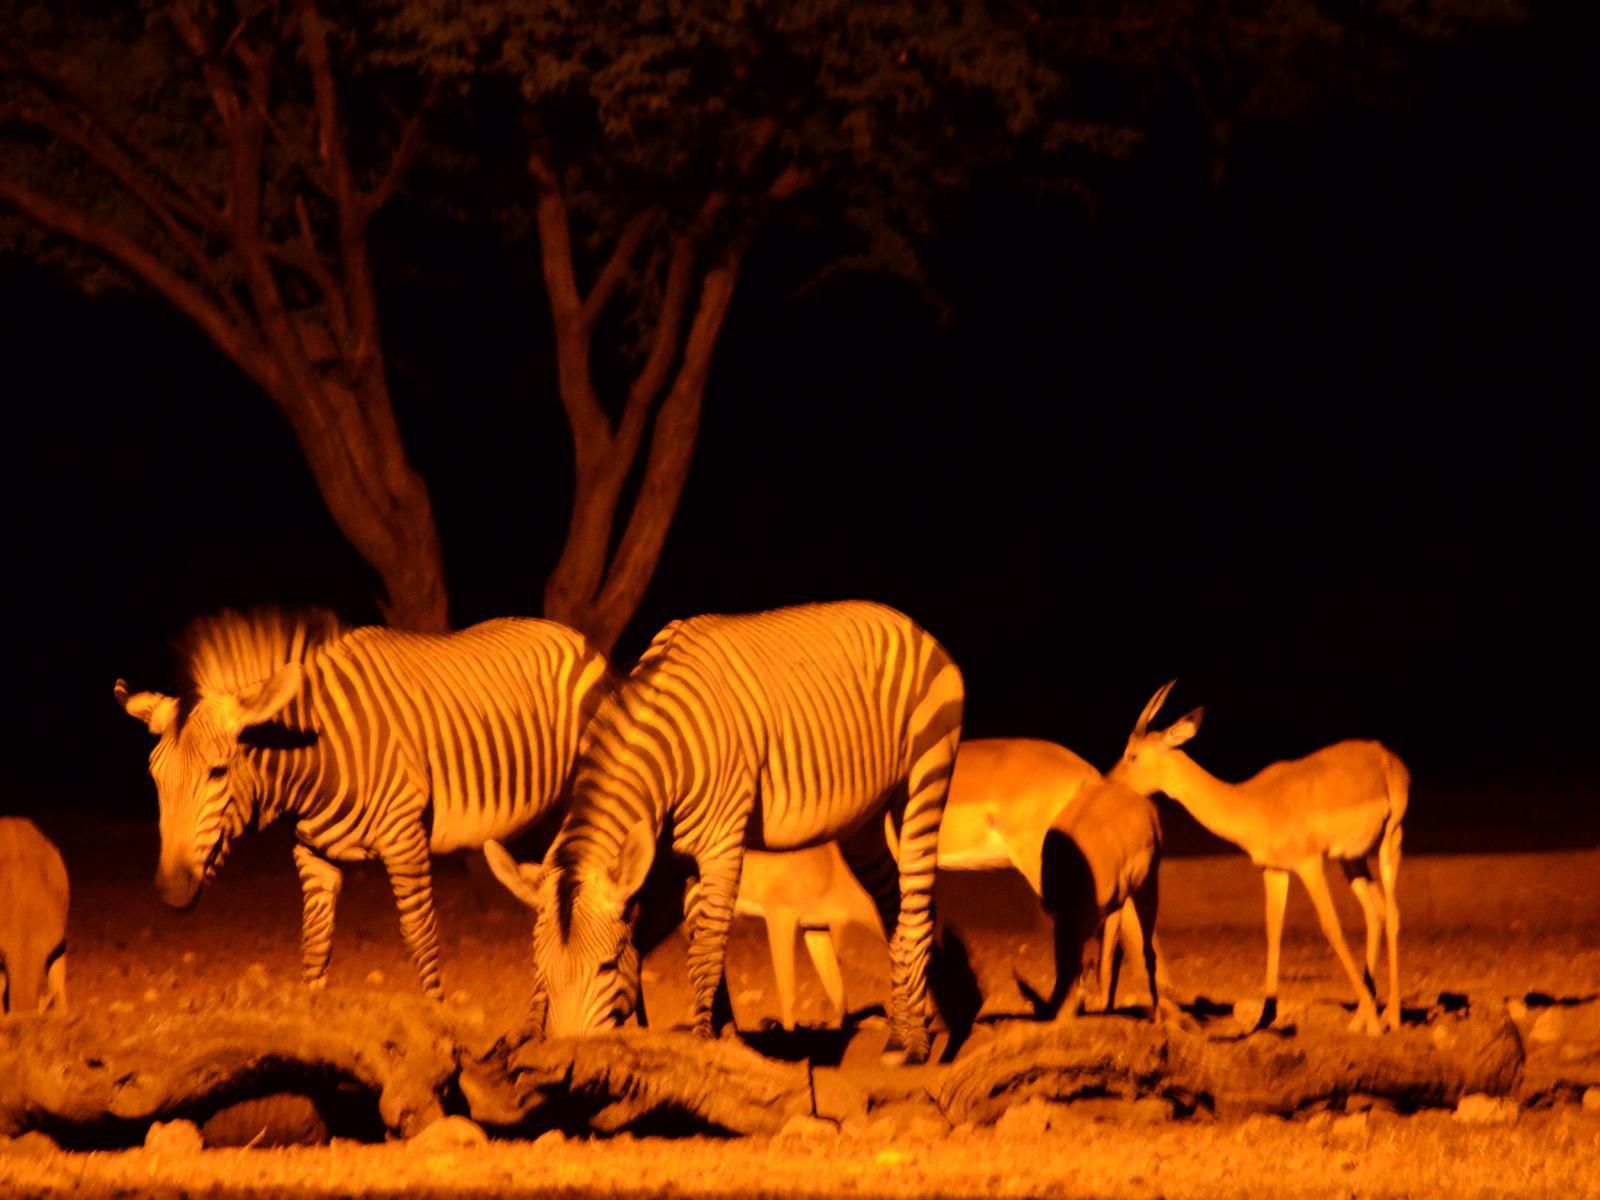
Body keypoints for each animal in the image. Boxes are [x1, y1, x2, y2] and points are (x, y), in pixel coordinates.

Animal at [116, 604, 608, 998]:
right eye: (155, 776)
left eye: (217, 771)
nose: (170, 890)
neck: (316, 760)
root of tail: (570, 633)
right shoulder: (312, 853)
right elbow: (315, 940)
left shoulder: (406, 840)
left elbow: (419, 932)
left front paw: (438, 1018)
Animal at [483, 604, 960, 1068]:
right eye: (542, 972)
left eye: (605, 967)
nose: (567, 1059)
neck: (667, 754)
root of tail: (907, 622)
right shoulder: (673, 857)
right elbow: (697, 942)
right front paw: (723, 1034)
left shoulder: (721, 846)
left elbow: (708, 948)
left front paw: (703, 1043)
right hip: (865, 820)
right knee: (896, 905)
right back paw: (904, 1028)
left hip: (924, 776)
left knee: (917, 904)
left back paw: (916, 1046)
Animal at [1107, 681, 1408, 1036]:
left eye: (1133, 755)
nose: (1108, 784)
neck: (1253, 802)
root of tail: (1388, 756)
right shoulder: (1274, 870)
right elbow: (1273, 930)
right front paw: (1263, 1019)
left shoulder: (1309, 864)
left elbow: (1331, 926)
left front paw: (1375, 1024)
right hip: (1352, 858)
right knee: (1375, 911)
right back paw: (1361, 1018)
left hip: (1390, 840)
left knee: (1392, 912)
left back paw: (1390, 1018)